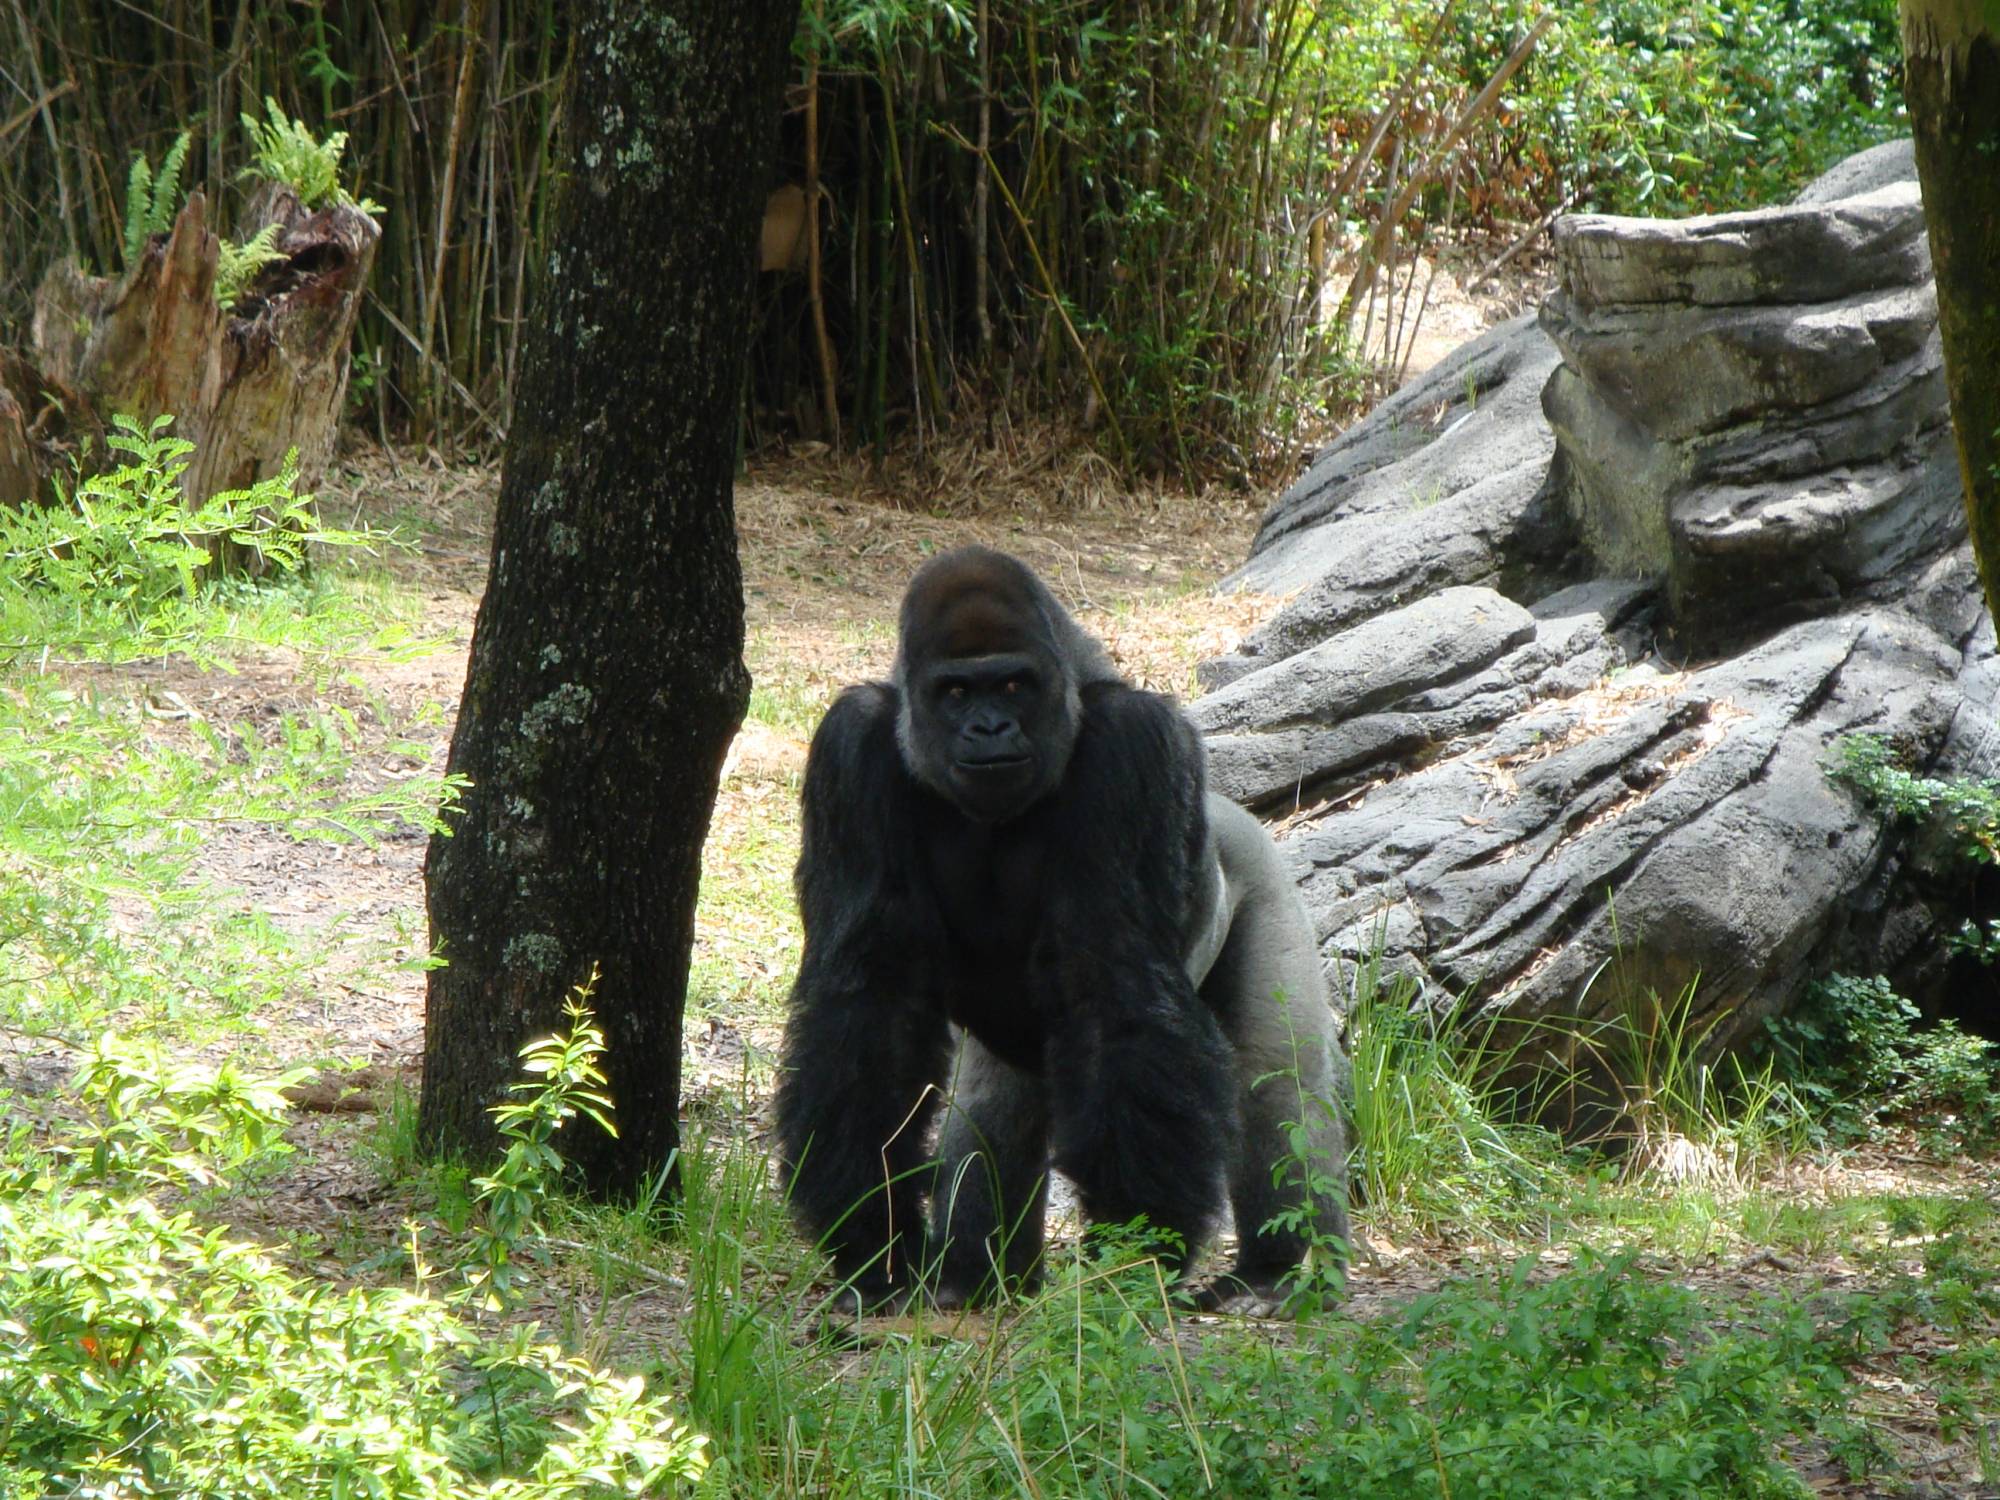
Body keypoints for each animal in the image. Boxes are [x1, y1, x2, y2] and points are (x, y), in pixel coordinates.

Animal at [772, 544, 1352, 1312]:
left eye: (1014, 685)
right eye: (955, 693)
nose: (989, 729)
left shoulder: (1130, 743)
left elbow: (1117, 985)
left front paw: (1138, 1244)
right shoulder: (851, 744)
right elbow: (871, 1003)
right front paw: (873, 1236)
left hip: (1264, 873)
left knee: (1277, 1081)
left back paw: (1280, 1269)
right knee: (992, 1108)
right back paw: (978, 1280)